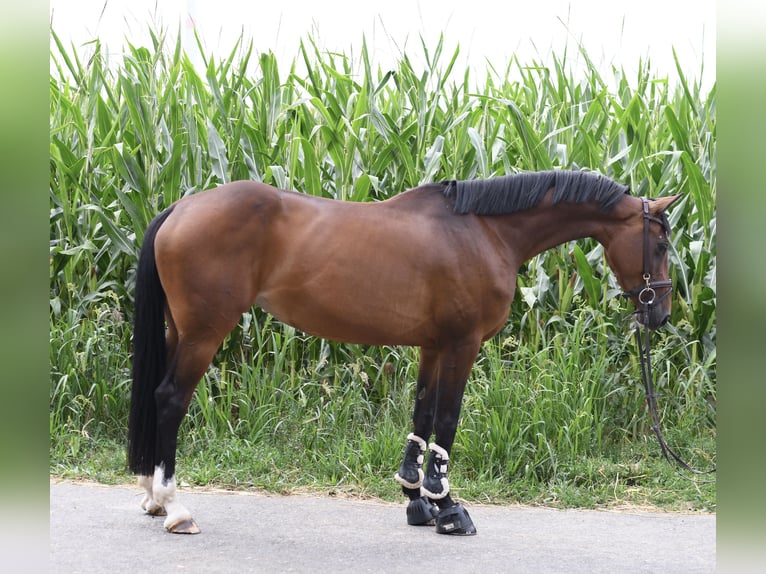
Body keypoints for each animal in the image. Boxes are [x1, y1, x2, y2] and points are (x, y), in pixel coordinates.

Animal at [128, 170, 680, 535]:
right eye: (660, 245)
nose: (658, 313)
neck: (485, 231)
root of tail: (180, 208)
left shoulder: (433, 346)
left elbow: (422, 420)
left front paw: (419, 501)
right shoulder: (462, 344)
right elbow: (448, 421)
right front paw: (451, 508)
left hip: (180, 331)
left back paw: (153, 500)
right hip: (204, 333)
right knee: (171, 399)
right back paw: (175, 507)